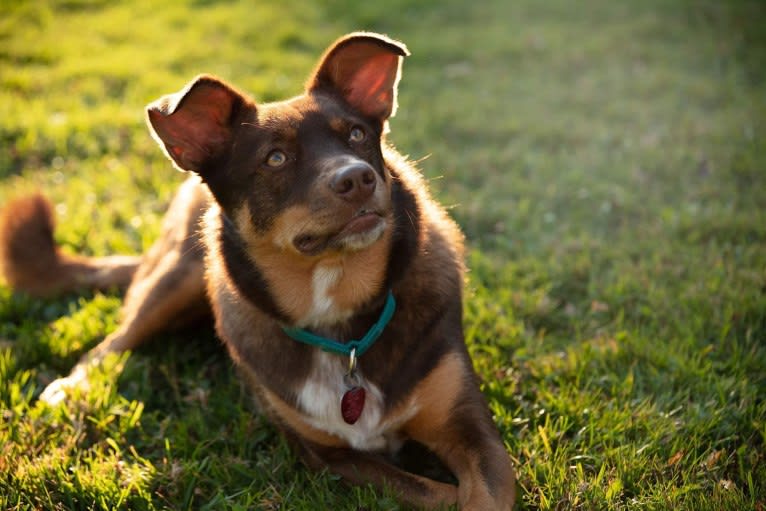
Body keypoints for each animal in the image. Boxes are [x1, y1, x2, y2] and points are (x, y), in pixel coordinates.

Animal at [1, 33, 516, 511]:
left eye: (355, 135)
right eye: (275, 158)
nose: (358, 178)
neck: (337, 312)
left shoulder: (469, 429)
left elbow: (476, 493)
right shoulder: (327, 454)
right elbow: (436, 494)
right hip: (177, 276)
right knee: (114, 340)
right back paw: (71, 387)